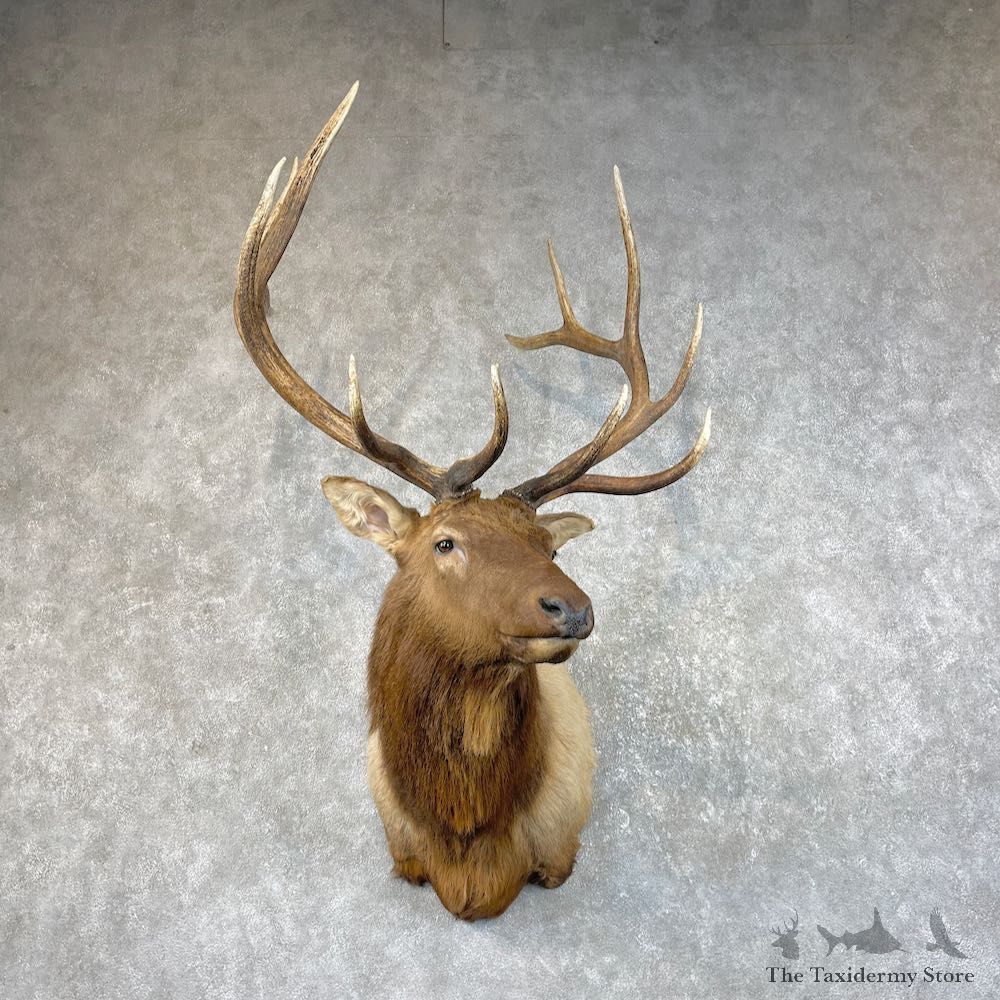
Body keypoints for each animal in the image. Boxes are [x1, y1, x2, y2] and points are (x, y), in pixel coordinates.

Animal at [233, 81, 711, 921]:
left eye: (549, 545)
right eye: (444, 542)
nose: (571, 607)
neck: (466, 845)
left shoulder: (561, 850)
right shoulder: (401, 853)